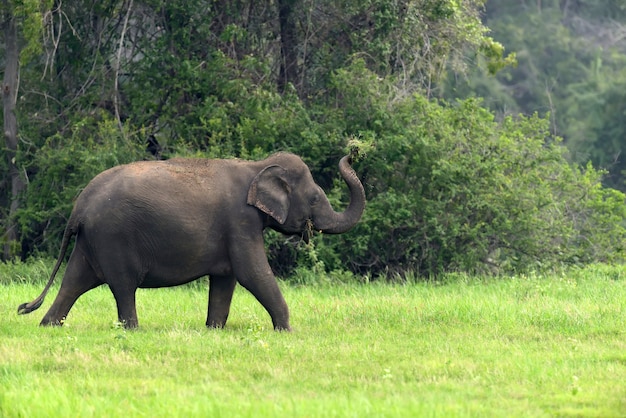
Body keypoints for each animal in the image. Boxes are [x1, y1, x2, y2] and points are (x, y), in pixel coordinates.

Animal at [17, 152, 366, 332]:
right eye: (315, 199)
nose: (351, 152)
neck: (256, 165)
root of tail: (79, 206)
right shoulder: (240, 221)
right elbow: (252, 273)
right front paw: (287, 332)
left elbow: (226, 279)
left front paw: (214, 330)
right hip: (112, 237)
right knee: (123, 286)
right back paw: (133, 330)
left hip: (91, 241)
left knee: (74, 281)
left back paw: (49, 326)